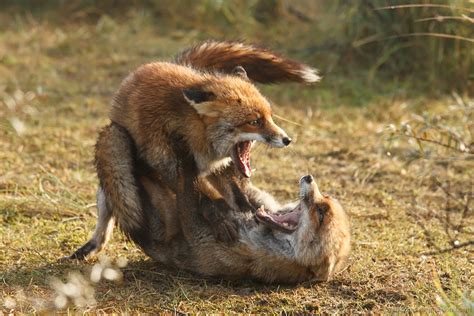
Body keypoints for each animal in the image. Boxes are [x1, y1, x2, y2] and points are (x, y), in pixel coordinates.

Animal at [69, 40, 318, 260]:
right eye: (254, 122)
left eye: (270, 117)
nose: (287, 139)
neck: (194, 134)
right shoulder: (171, 165)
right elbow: (204, 199)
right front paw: (222, 220)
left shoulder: (221, 167)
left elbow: (236, 198)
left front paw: (250, 215)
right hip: (115, 145)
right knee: (109, 208)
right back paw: (91, 245)